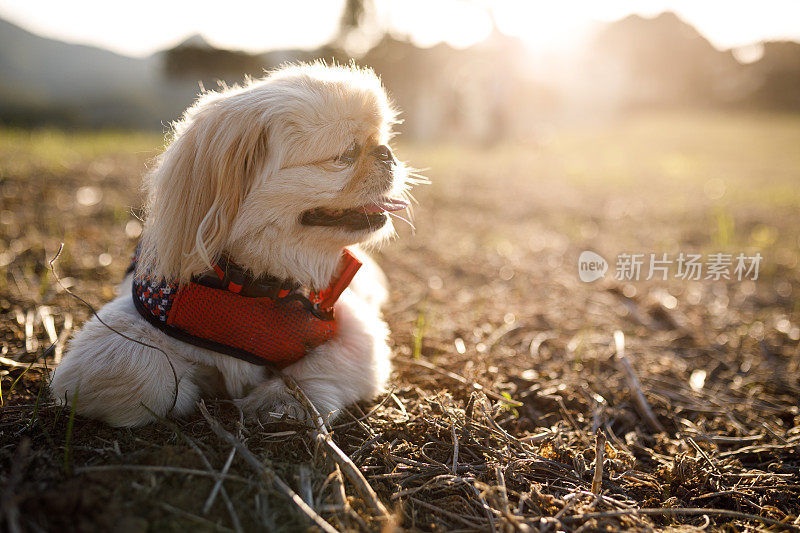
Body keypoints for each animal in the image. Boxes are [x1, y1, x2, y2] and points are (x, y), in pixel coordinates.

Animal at [50, 62, 412, 428]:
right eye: (347, 154)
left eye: (382, 141)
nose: (387, 152)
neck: (255, 286)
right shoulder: (119, 331)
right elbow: (138, 373)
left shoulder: (352, 328)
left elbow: (320, 367)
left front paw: (279, 401)